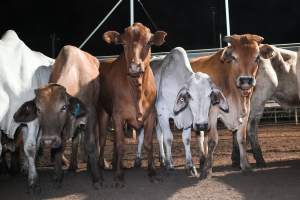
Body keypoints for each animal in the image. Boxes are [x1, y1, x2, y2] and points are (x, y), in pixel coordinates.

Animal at [14, 45, 101, 189]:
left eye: (63, 107)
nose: (48, 141)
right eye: (38, 109)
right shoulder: (61, 128)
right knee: (75, 140)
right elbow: (59, 149)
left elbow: (90, 144)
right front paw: (58, 176)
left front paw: (97, 178)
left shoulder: (91, 114)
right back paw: (72, 166)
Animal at [99, 23, 168, 188]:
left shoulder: (151, 115)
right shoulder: (118, 116)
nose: (135, 66)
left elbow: (148, 143)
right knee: (103, 139)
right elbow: (120, 144)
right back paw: (103, 165)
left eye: (149, 43)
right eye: (123, 44)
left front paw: (152, 172)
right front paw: (118, 177)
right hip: (103, 111)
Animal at [134, 47, 227, 175]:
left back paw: (162, 159)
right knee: (141, 135)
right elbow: (168, 138)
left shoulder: (187, 119)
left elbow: (186, 139)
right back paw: (138, 160)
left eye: (210, 94)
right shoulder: (163, 114)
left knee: (159, 135)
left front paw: (190, 166)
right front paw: (170, 164)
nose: (202, 125)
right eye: (189, 95)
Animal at [190, 34, 274, 178]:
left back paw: (203, 160)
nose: (246, 80)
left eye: (257, 57)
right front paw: (207, 170)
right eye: (234, 57)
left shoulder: (246, 111)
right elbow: (213, 140)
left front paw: (245, 166)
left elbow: (241, 139)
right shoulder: (212, 112)